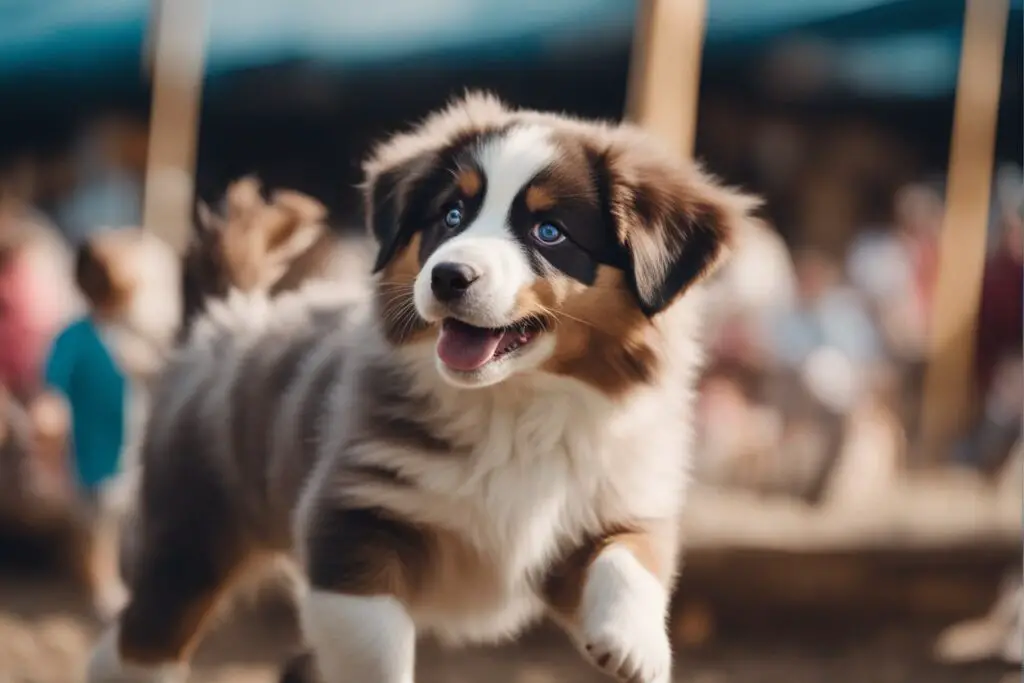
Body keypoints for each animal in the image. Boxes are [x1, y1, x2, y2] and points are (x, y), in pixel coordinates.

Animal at [88, 92, 757, 683]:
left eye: (549, 232)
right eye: (451, 217)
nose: (449, 275)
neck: (515, 405)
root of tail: (224, 315)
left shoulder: (602, 502)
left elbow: (632, 557)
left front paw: (634, 643)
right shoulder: (355, 517)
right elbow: (374, 649)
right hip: (187, 537)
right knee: (135, 643)